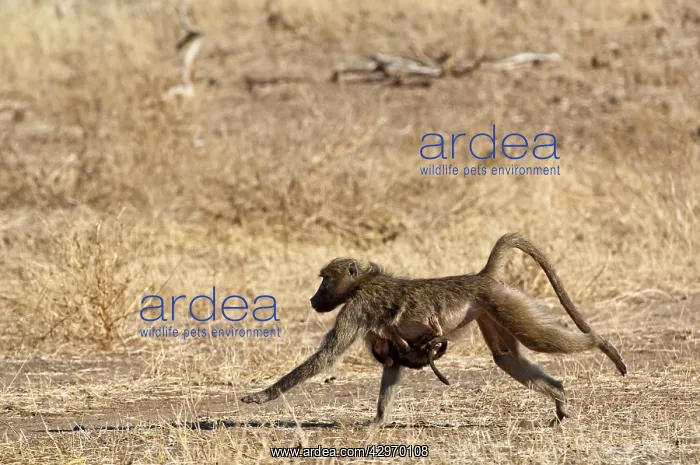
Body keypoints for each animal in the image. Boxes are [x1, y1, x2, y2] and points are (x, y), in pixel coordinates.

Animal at [240, 233, 627, 426]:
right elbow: (392, 363)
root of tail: (482, 277)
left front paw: (260, 396)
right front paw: (378, 423)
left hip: (503, 301)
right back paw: (558, 396)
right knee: (505, 356)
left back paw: (603, 344)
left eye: (324, 280)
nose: (312, 299)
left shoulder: (358, 307)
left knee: (538, 339)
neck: (364, 281)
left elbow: (325, 357)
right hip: (491, 309)